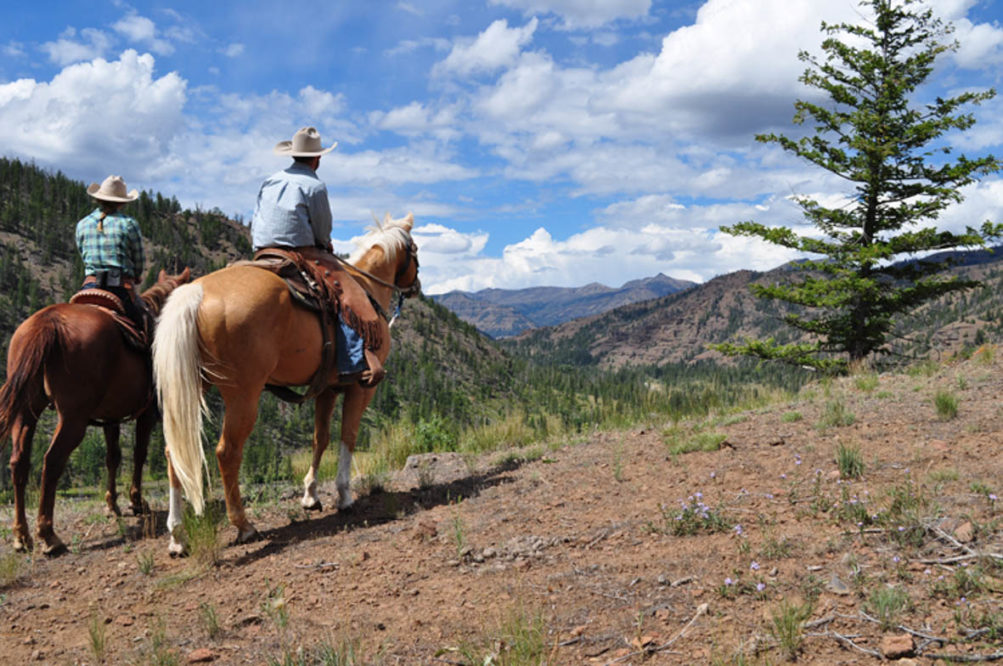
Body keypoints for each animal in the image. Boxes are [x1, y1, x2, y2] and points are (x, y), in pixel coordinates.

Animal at [0, 267, 192, 554]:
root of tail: (47, 321)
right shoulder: (147, 414)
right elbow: (139, 454)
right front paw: (137, 501)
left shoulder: (111, 417)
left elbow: (112, 458)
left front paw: (112, 505)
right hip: (73, 419)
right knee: (52, 461)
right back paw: (48, 535)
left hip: (26, 411)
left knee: (19, 462)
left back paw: (21, 536)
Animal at [153, 213, 420, 554]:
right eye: (415, 249)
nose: (416, 287)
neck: (368, 286)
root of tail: (196, 291)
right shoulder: (362, 388)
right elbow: (348, 436)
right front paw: (344, 495)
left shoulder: (327, 389)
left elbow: (320, 439)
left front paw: (311, 495)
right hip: (243, 396)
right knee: (227, 452)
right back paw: (243, 526)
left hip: (190, 393)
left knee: (173, 453)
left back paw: (177, 536)